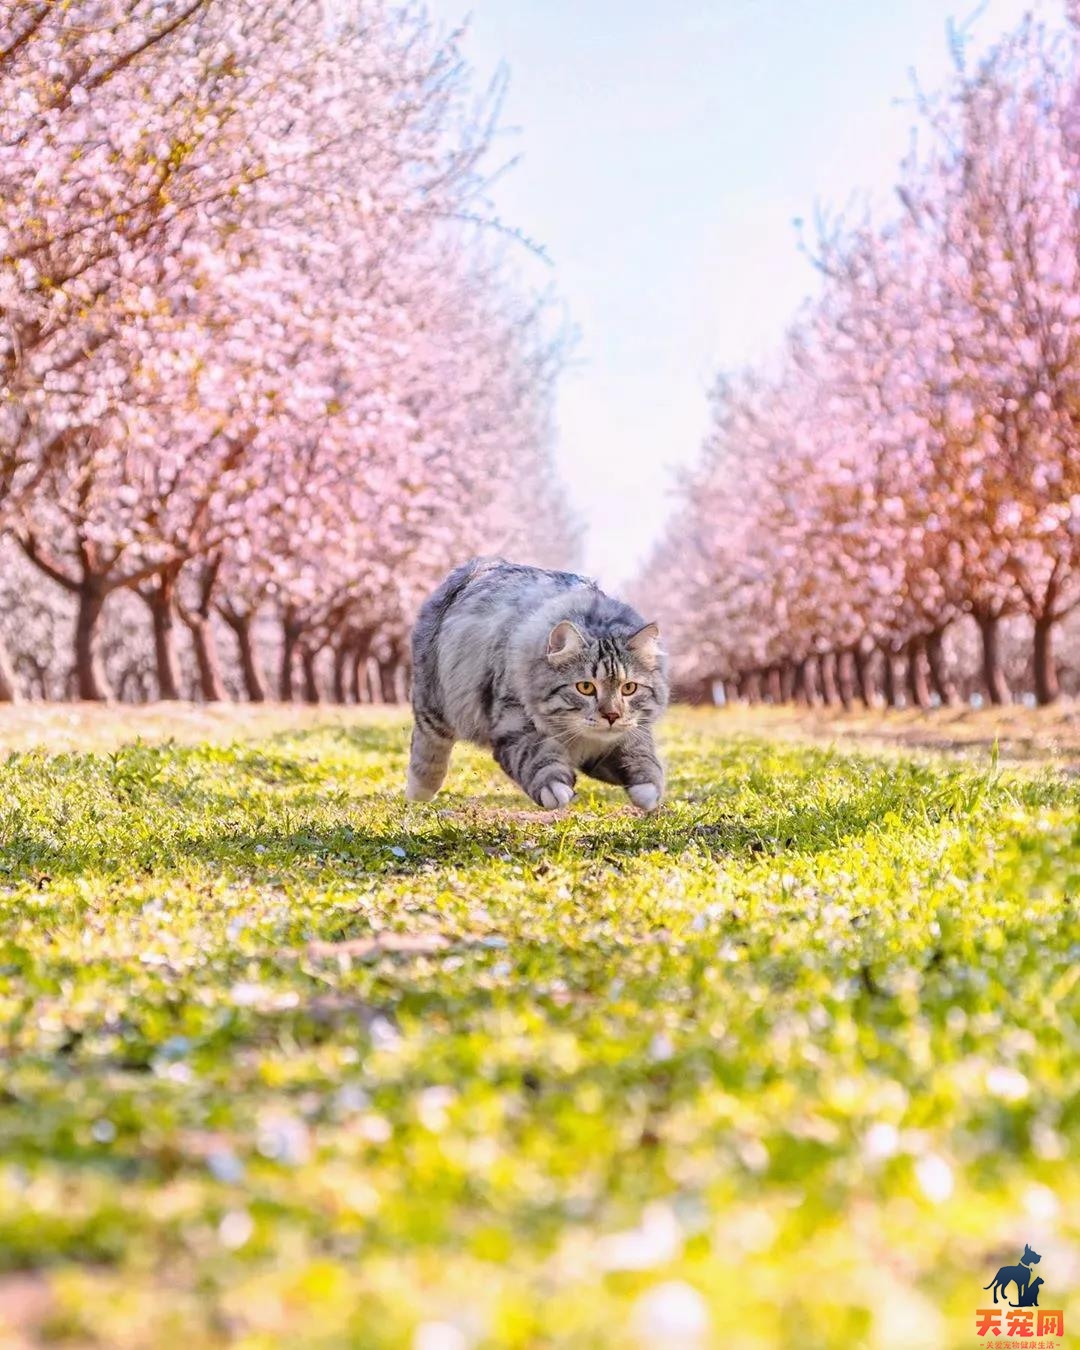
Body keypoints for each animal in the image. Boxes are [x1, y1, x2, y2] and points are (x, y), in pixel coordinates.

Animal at [405, 558, 666, 810]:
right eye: (586, 688)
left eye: (629, 688)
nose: (611, 716)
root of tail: (472, 567)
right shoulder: (513, 723)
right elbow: (538, 758)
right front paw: (555, 788)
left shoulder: (621, 739)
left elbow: (641, 757)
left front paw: (649, 792)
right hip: (435, 702)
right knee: (428, 745)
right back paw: (420, 791)